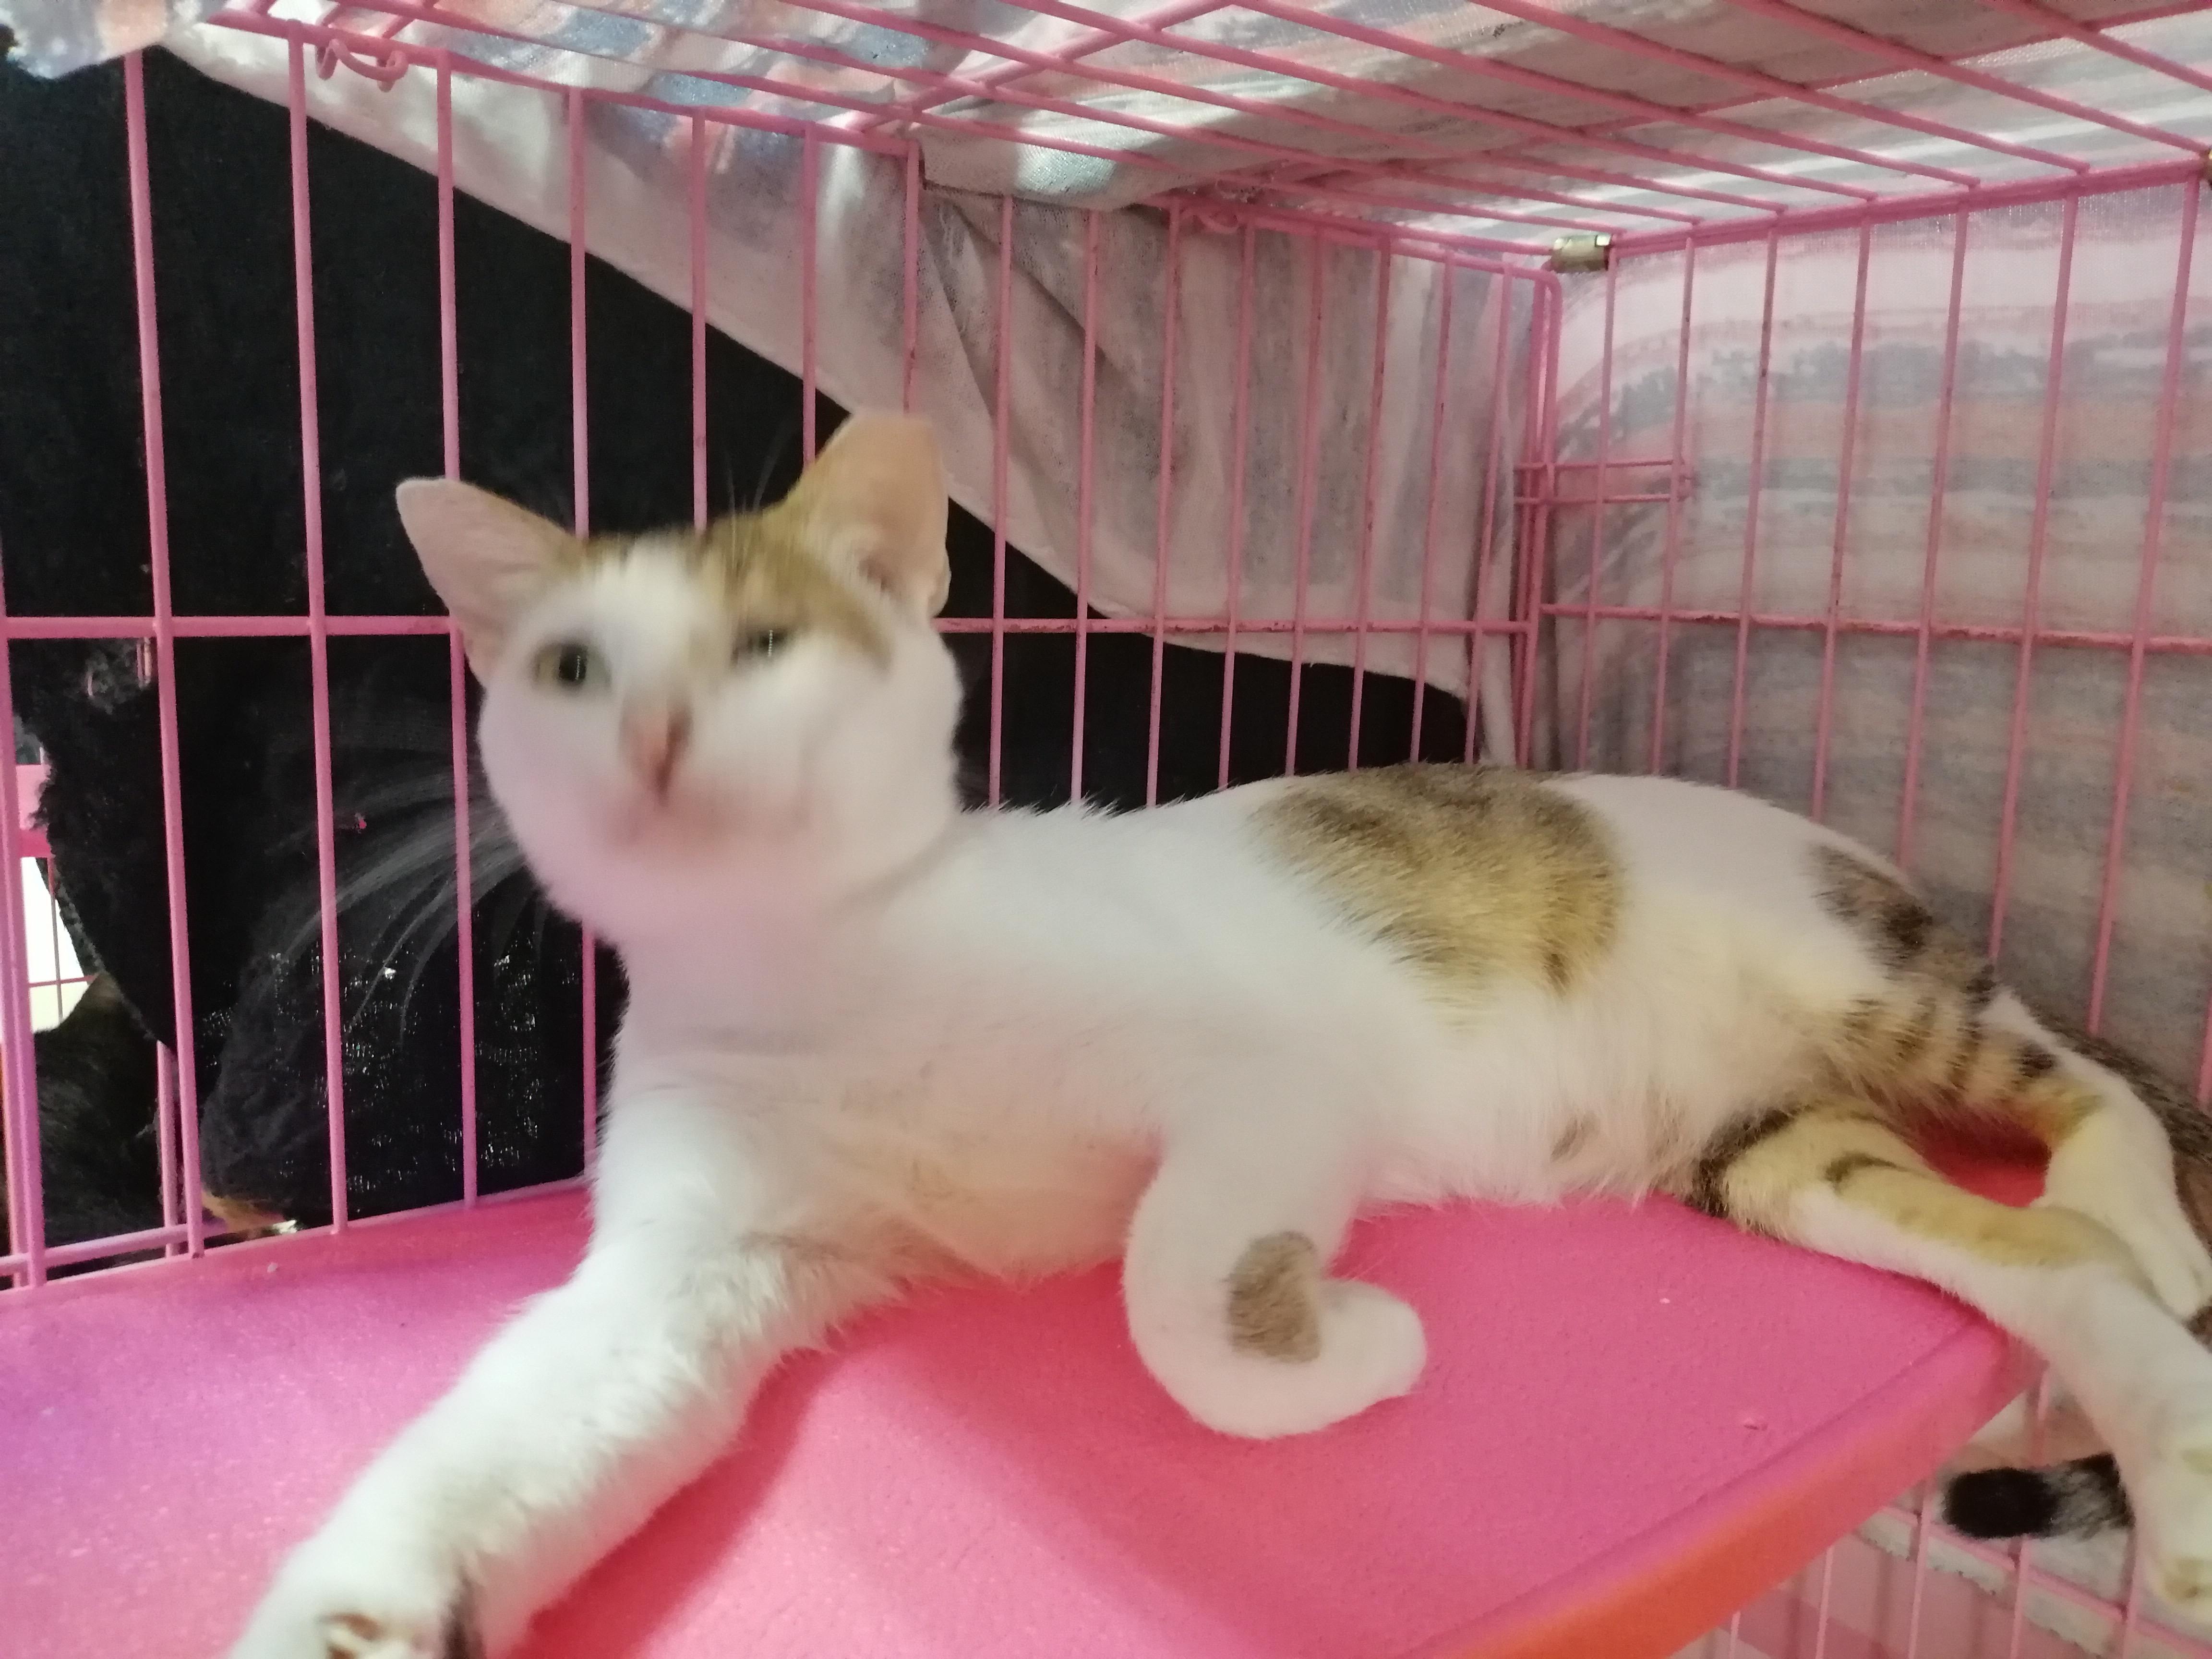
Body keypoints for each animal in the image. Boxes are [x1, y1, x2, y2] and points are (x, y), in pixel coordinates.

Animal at [231, 414, 2212, 1658]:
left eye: (768, 642)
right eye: (572, 667)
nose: (646, 732)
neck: (822, 973)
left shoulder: (1265, 1083)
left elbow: (1166, 1283)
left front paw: (1344, 1346)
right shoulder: (697, 1258)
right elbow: (515, 1422)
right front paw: (359, 1602)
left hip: (1854, 973)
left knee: (2082, 1094)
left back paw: (2150, 1214)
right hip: (1777, 1153)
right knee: (2042, 1262)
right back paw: (2179, 1471)